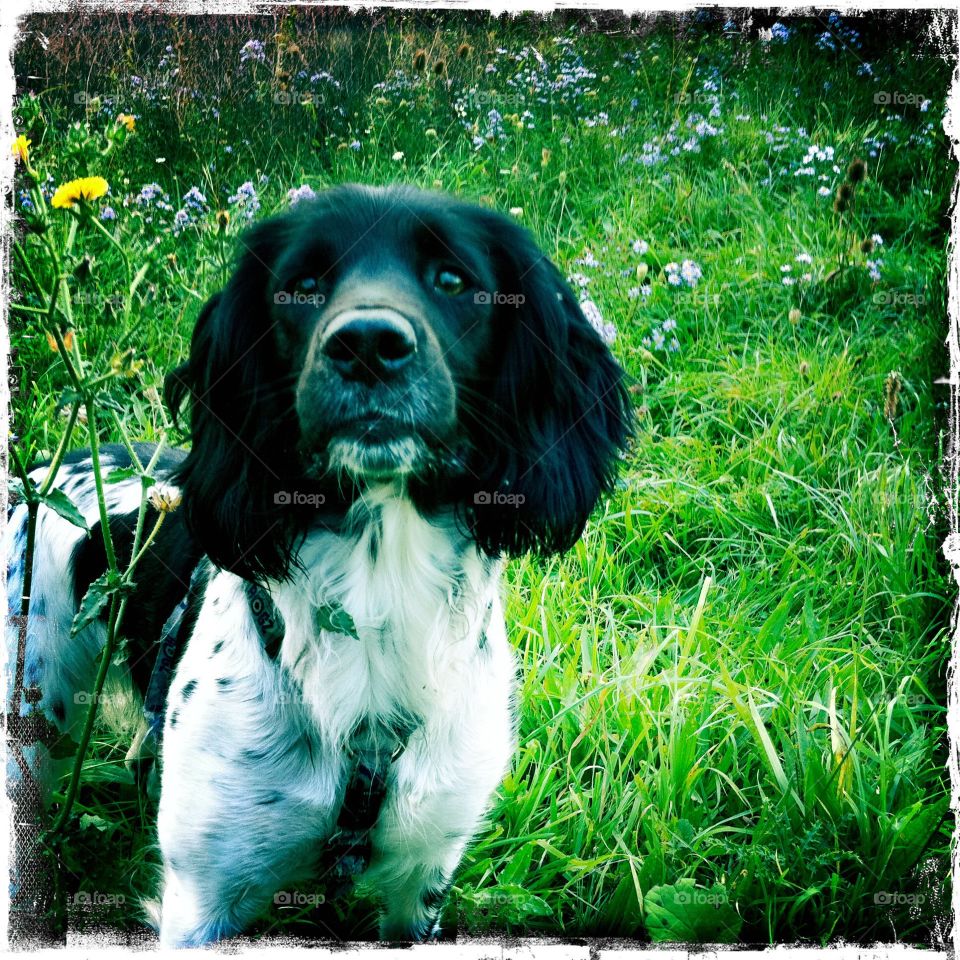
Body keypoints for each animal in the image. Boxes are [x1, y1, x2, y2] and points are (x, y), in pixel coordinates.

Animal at [9, 186, 636, 944]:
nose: (366, 345)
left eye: (453, 279)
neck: (379, 586)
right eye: (303, 285)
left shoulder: (423, 879)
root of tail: (37, 477)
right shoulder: (201, 897)